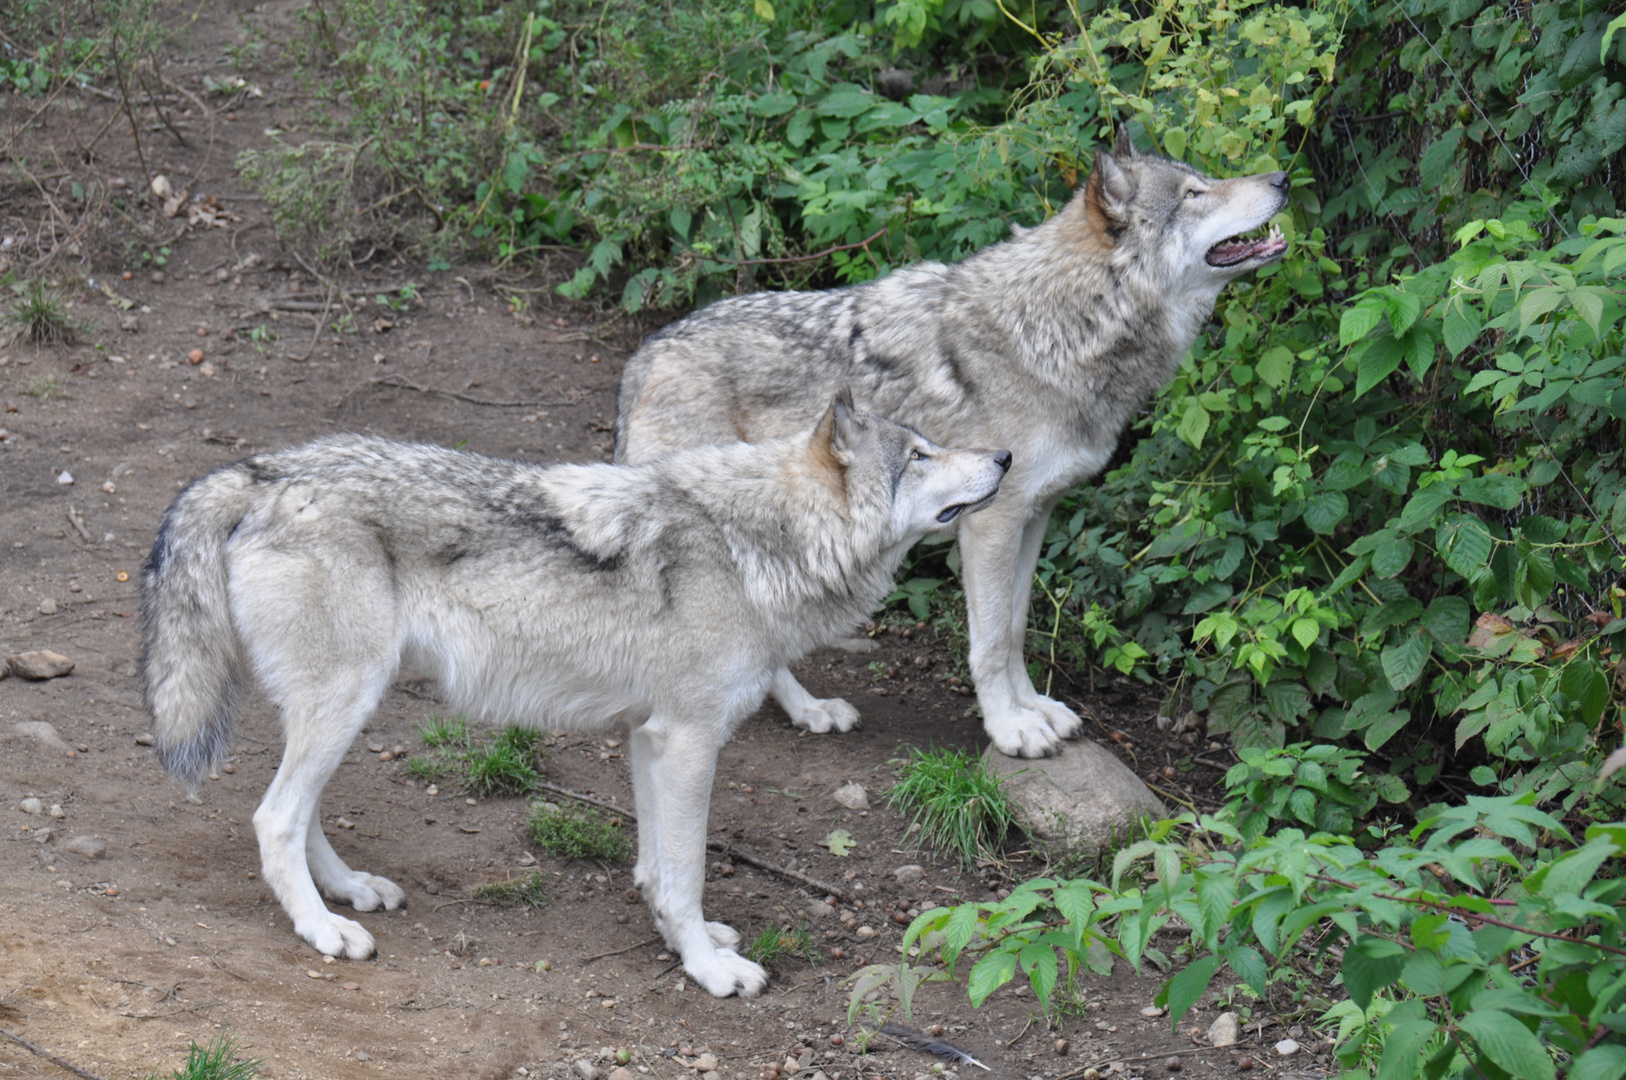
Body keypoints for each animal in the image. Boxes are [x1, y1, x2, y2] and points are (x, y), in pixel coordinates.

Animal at [139, 400, 1008, 1001]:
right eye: (920, 454)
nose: (1003, 453)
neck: (753, 545)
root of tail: (260, 469)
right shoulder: (690, 741)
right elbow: (687, 870)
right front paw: (711, 969)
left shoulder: (649, 738)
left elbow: (659, 869)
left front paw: (688, 940)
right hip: (344, 702)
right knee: (273, 818)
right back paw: (324, 928)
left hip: (345, 707)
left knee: (298, 811)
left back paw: (351, 891)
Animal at [614, 128, 1287, 757]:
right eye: (1195, 194)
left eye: (1206, 178)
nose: (1283, 177)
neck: (1064, 326)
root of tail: (644, 355)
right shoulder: (991, 521)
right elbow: (988, 642)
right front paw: (1012, 728)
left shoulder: (1035, 515)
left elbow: (1013, 630)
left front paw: (1035, 709)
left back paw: (811, 711)